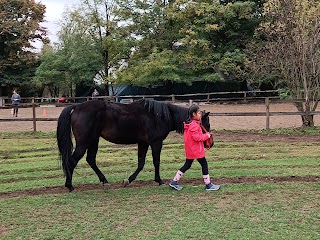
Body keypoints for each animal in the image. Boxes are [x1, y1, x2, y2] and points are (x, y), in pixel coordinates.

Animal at [57, 99, 212, 191]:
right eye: (207, 123)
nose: (211, 142)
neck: (160, 115)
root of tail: (77, 106)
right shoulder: (156, 142)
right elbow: (156, 161)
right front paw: (159, 180)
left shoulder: (143, 143)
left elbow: (141, 163)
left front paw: (129, 180)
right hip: (84, 143)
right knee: (72, 161)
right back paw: (69, 185)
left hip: (93, 141)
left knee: (90, 160)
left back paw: (104, 180)